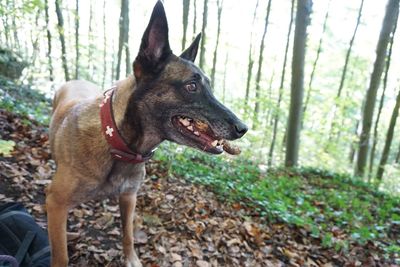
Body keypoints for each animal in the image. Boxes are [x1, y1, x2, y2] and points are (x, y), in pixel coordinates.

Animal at [46, 1, 247, 266]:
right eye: (191, 86)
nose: (242, 128)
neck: (117, 142)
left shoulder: (129, 197)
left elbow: (128, 235)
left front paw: (131, 259)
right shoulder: (55, 204)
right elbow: (61, 256)